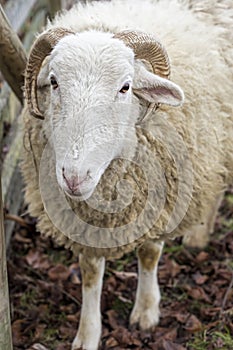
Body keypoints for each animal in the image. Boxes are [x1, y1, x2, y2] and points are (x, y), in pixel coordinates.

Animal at [20, 0, 232, 348]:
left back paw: (198, 236)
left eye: (126, 87)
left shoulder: (164, 197)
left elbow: (149, 254)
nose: (75, 177)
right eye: (53, 82)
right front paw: (87, 334)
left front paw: (146, 312)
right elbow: (90, 273)